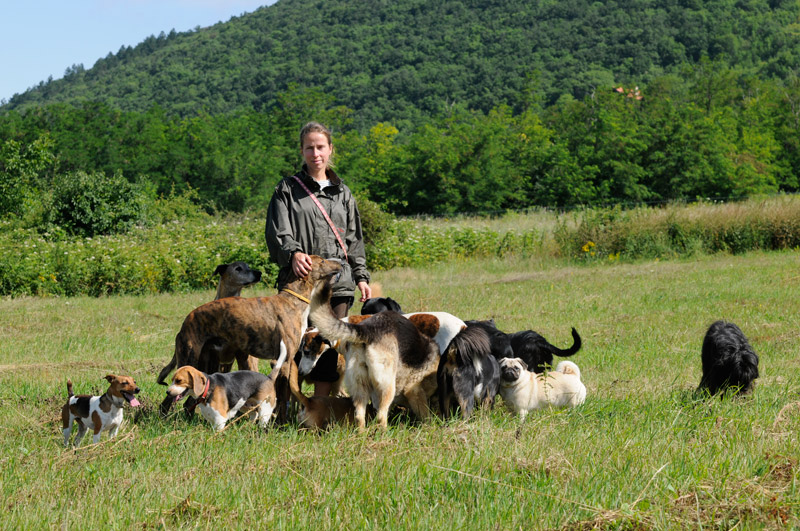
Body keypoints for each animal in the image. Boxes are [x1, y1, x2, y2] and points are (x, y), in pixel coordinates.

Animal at [158, 258, 342, 420]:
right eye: (322, 261)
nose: (341, 262)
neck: (292, 301)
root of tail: (185, 322)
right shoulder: (285, 360)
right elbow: (283, 398)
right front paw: (281, 424)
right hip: (190, 360)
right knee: (167, 403)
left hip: (203, 366)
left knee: (187, 403)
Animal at [310, 272, 438, 430]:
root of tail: (367, 330)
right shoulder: (414, 390)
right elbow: (425, 412)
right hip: (387, 386)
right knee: (381, 416)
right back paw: (384, 433)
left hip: (360, 384)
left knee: (360, 415)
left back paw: (362, 432)